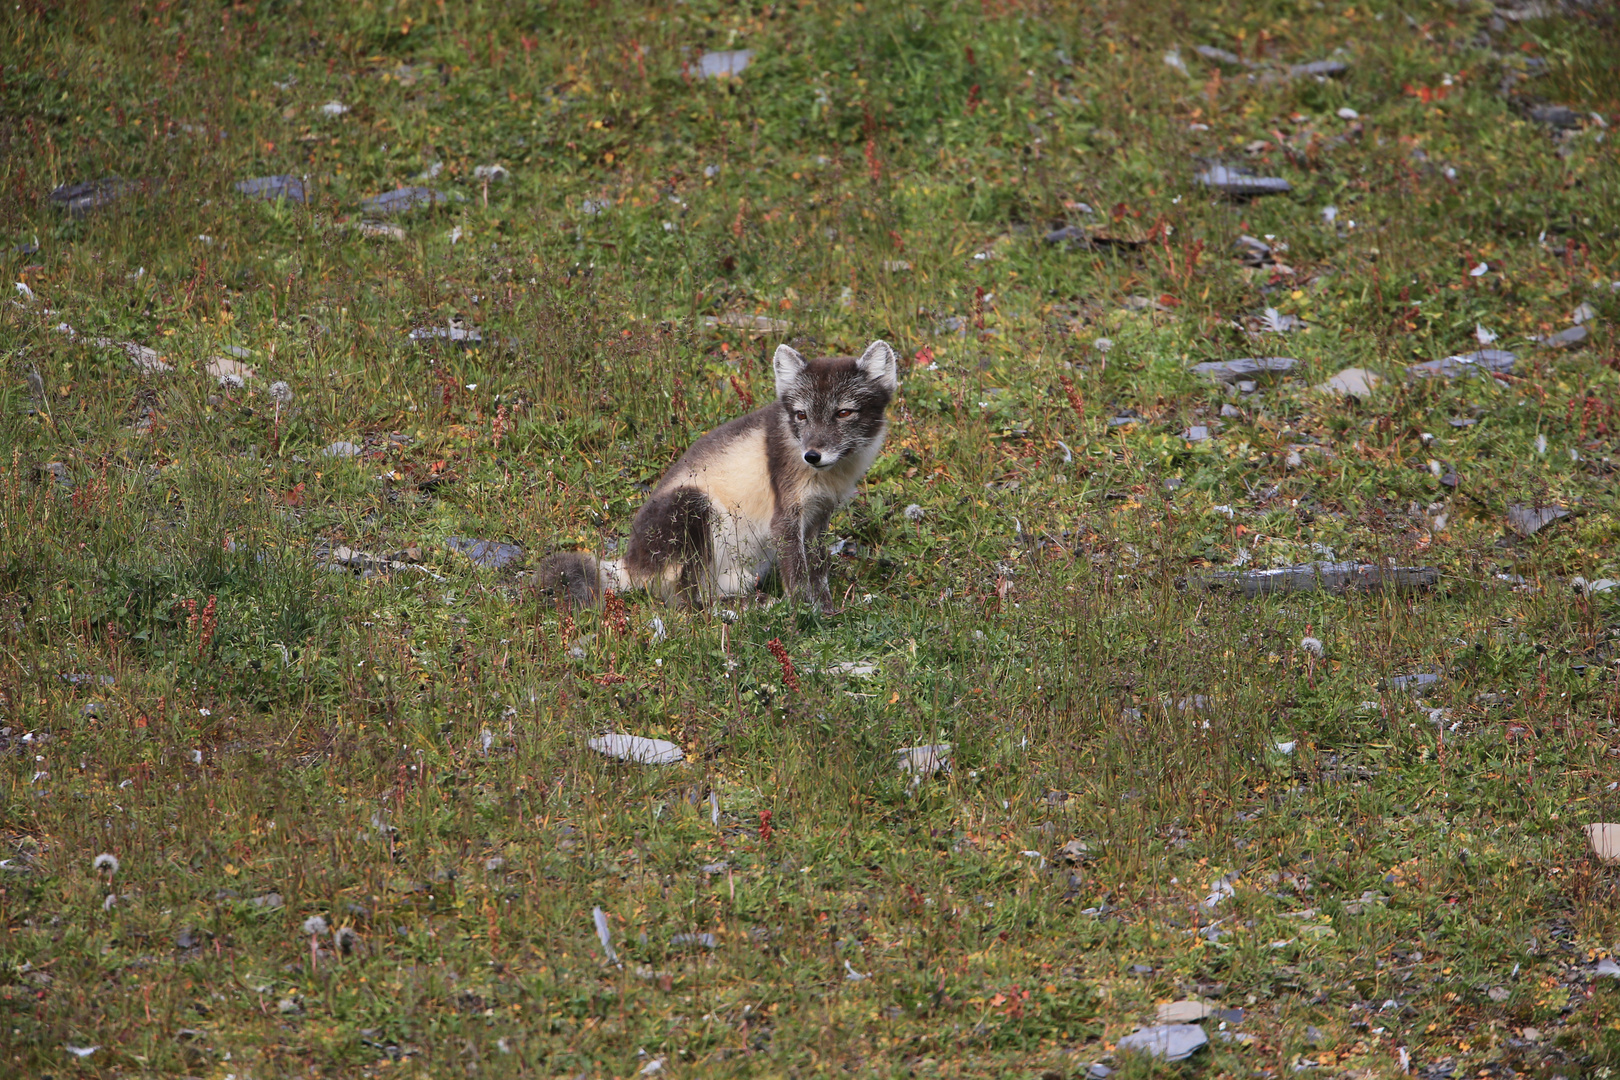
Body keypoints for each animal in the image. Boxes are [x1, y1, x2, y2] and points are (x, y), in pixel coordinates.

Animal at [541, 338, 900, 612]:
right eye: (801, 415)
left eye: (844, 412)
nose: (811, 456)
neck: (831, 476)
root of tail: (630, 565)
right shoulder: (786, 516)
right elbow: (797, 576)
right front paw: (806, 614)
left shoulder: (818, 517)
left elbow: (818, 569)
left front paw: (826, 607)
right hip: (691, 506)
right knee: (686, 602)